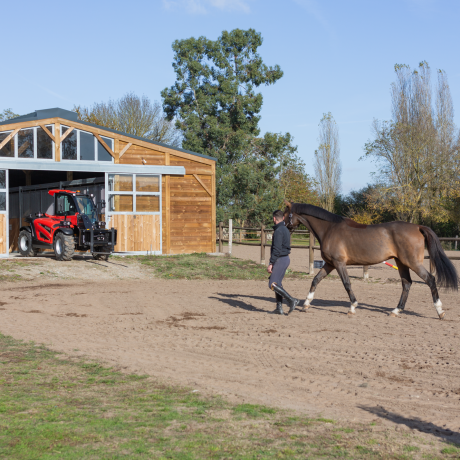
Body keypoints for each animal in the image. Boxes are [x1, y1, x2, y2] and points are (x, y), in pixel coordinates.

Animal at [282, 201, 458, 320]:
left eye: (284, 214)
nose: (281, 227)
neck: (329, 229)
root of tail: (418, 227)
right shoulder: (330, 264)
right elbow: (315, 280)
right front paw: (306, 304)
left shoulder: (339, 263)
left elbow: (347, 284)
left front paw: (352, 307)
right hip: (401, 263)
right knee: (407, 283)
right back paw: (396, 311)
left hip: (413, 263)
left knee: (430, 279)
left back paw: (440, 311)